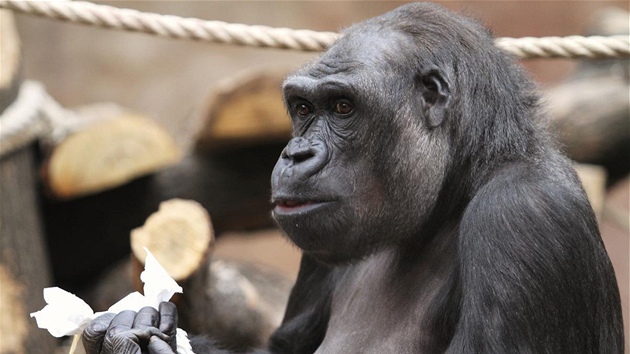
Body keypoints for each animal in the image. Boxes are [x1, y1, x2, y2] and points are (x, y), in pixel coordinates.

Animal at [81, 2, 624, 354]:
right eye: (302, 108)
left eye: (343, 106)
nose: (296, 153)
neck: (456, 187)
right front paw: (130, 332)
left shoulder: (523, 218)